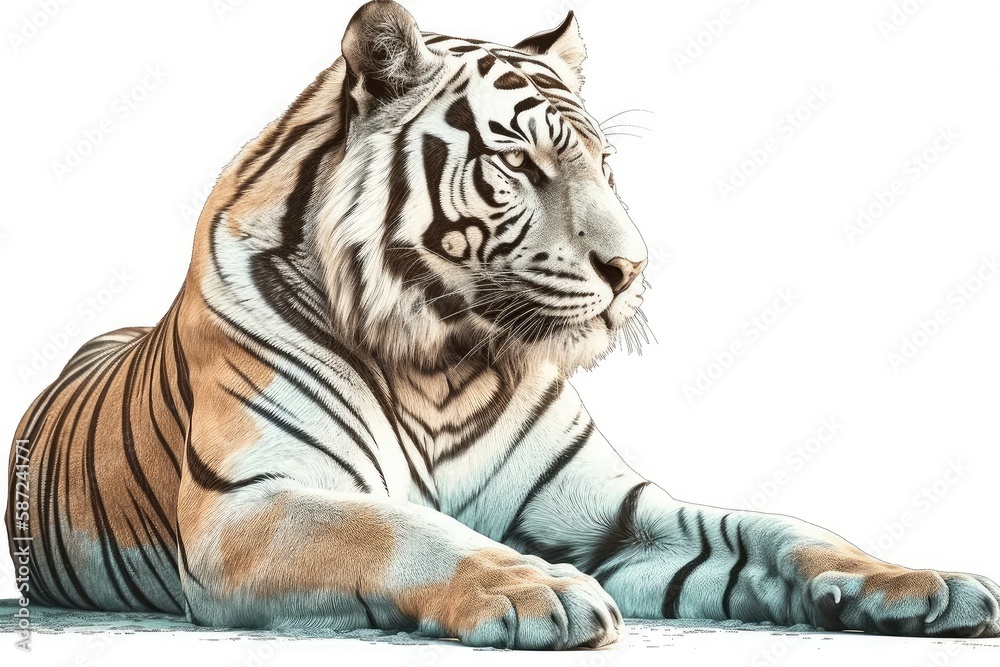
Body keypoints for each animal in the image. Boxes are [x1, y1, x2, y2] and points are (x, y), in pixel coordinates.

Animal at [5, 0, 999, 649]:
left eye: (604, 164)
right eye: (520, 164)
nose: (633, 269)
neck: (441, 356)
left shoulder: (616, 514)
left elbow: (778, 529)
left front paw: (923, 581)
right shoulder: (253, 503)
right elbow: (400, 527)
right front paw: (535, 587)